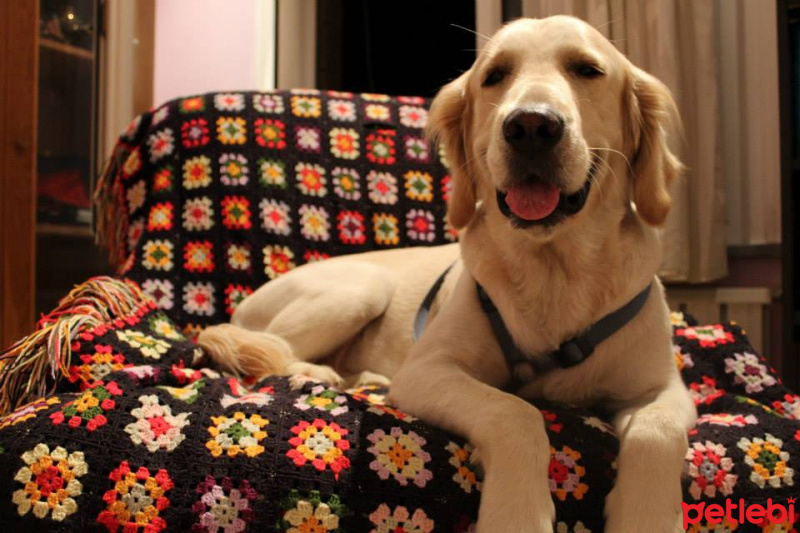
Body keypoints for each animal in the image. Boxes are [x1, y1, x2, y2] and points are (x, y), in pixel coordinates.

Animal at [198, 14, 692, 528]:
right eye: (495, 75)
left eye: (587, 70)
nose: (531, 125)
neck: (554, 270)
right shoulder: (428, 369)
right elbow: (516, 412)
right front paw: (517, 512)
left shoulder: (664, 386)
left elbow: (658, 431)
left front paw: (648, 519)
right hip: (362, 287)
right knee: (276, 350)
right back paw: (316, 372)